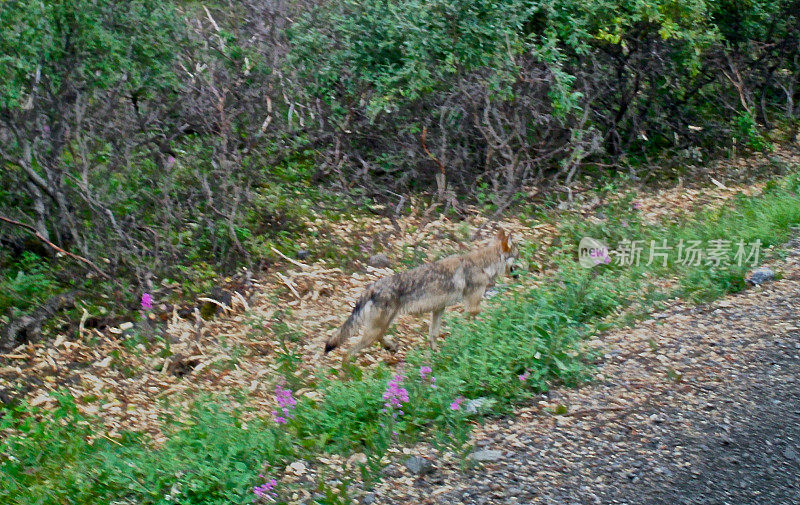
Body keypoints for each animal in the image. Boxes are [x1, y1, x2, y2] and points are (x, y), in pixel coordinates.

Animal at [324, 228, 520, 354]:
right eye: (518, 257)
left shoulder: (439, 309)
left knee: (375, 340)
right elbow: (479, 316)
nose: (524, 268)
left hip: (381, 326)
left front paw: (436, 354)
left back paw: (390, 347)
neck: (483, 265)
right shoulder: (472, 305)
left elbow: (433, 334)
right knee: (347, 354)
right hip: (377, 328)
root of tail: (371, 287)